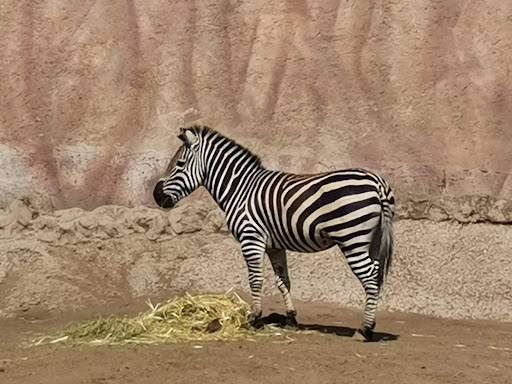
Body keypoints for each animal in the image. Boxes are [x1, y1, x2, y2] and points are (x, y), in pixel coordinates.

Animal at [153, 124, 396, 340]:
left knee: (370, 279)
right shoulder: (274, 245)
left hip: (352, 239)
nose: (156, 196)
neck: (240, 189)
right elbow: (283, 281)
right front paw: (290, 318)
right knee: (376, 276)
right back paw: (369, 326)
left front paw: (255, 318)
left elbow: (255, 279)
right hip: (373, 240)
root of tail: (377, 182)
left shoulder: (251, 238)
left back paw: (365, 330)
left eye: (179, 164)